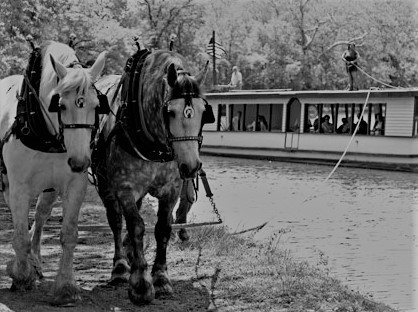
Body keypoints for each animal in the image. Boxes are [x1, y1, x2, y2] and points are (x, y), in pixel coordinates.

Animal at [94, 49, 212, 304]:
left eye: (203, 112)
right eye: (171, 112)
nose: (191, 167)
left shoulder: (172, 189)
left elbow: (163, 228)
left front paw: (161, 278)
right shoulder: (125, 187)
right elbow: (136, 225)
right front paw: (140, 283)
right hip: (105, 182)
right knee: (116, 220)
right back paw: (120, 266)